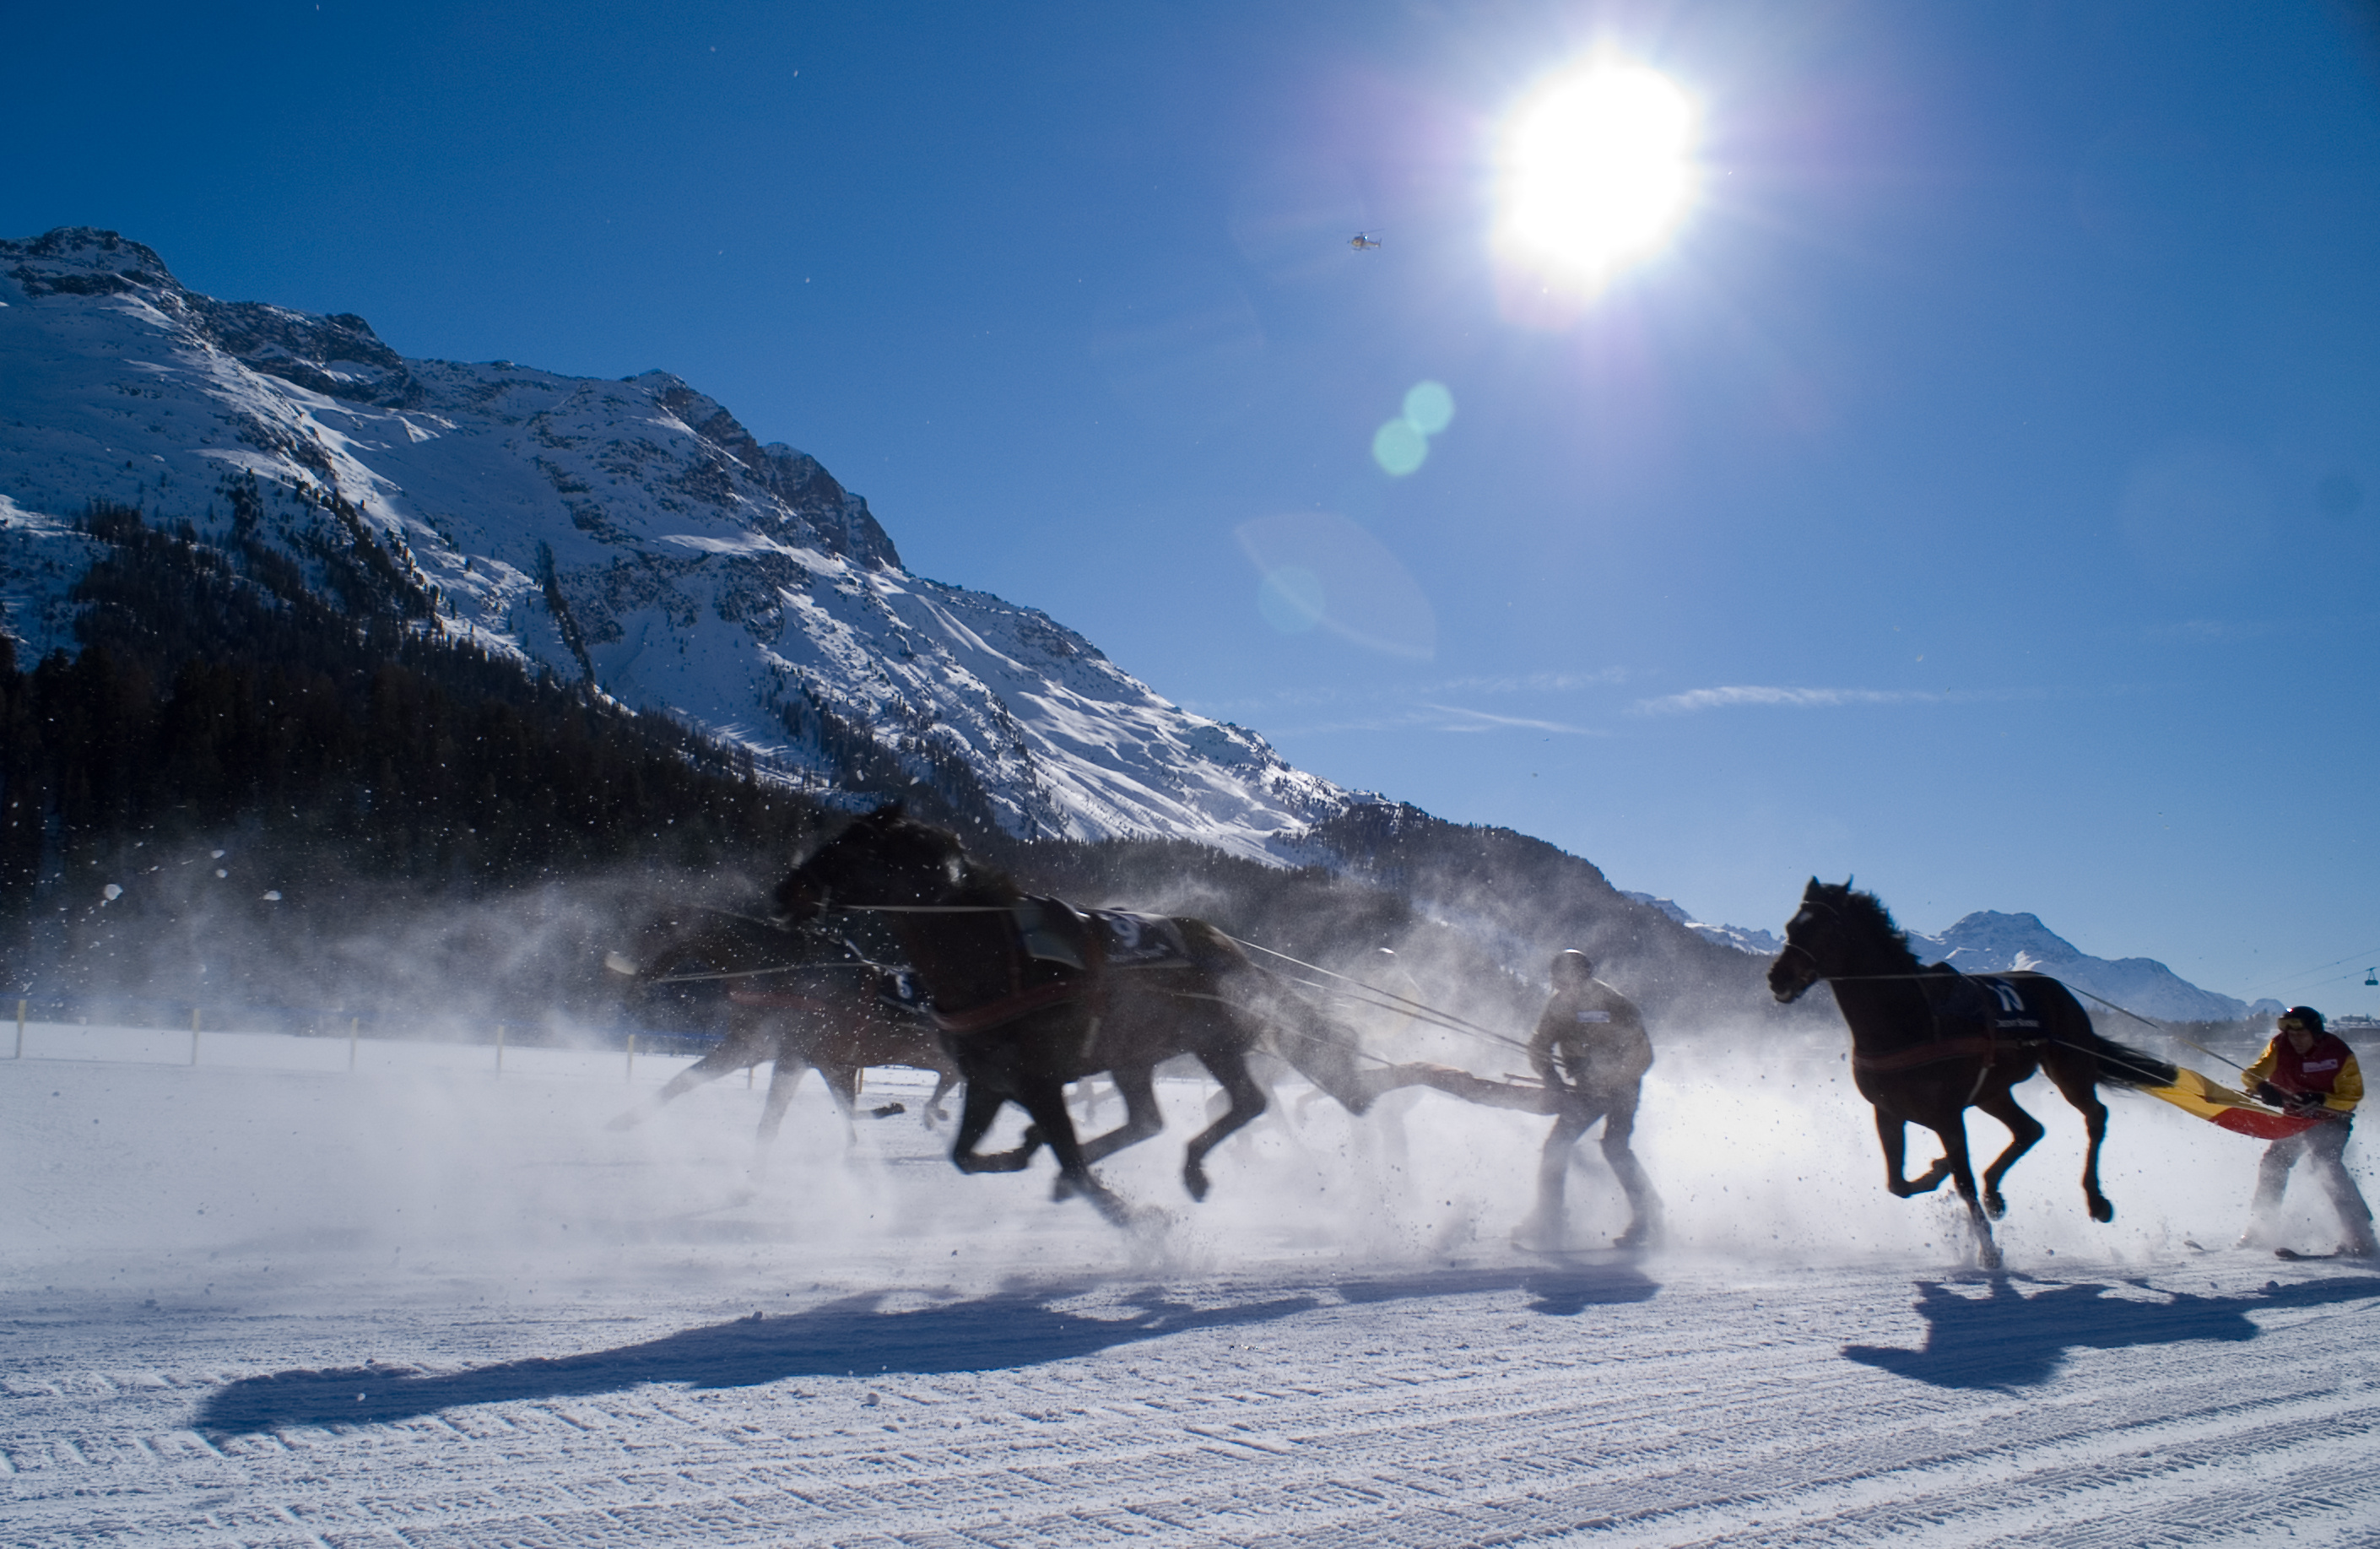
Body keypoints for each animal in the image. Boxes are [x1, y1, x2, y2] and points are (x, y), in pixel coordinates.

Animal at [776, 799, 1447, 1227]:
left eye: (851, 845)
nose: (788, 890)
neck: (993, 959)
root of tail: (1234, 952)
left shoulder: (1039, 1082)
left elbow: (1069, 1161)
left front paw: (1140, 1222)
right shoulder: (991, 1082)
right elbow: (964, 1157)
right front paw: (1017, 1153)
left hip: (1213, 1042)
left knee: (1245, 1102)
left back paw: (1192, 1169)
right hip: (1134, 1054)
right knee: (1149, 1119)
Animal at [1771, 885, 2180, 1275]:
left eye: (1824, 927)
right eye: (1791, 926)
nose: (1777, 977)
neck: (1907, 1019)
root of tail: (2059, 989)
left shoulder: (1948, 1116)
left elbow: (1962, 1183)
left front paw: (1989, 1253)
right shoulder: (1887, 1111)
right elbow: (1897, 1184)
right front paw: (1939, 1169)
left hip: (2070, 1067)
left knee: (2094, 1116)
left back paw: (2096, 1200)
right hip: (1992, 1092)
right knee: (2030, 1129)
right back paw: (1995, 1195)